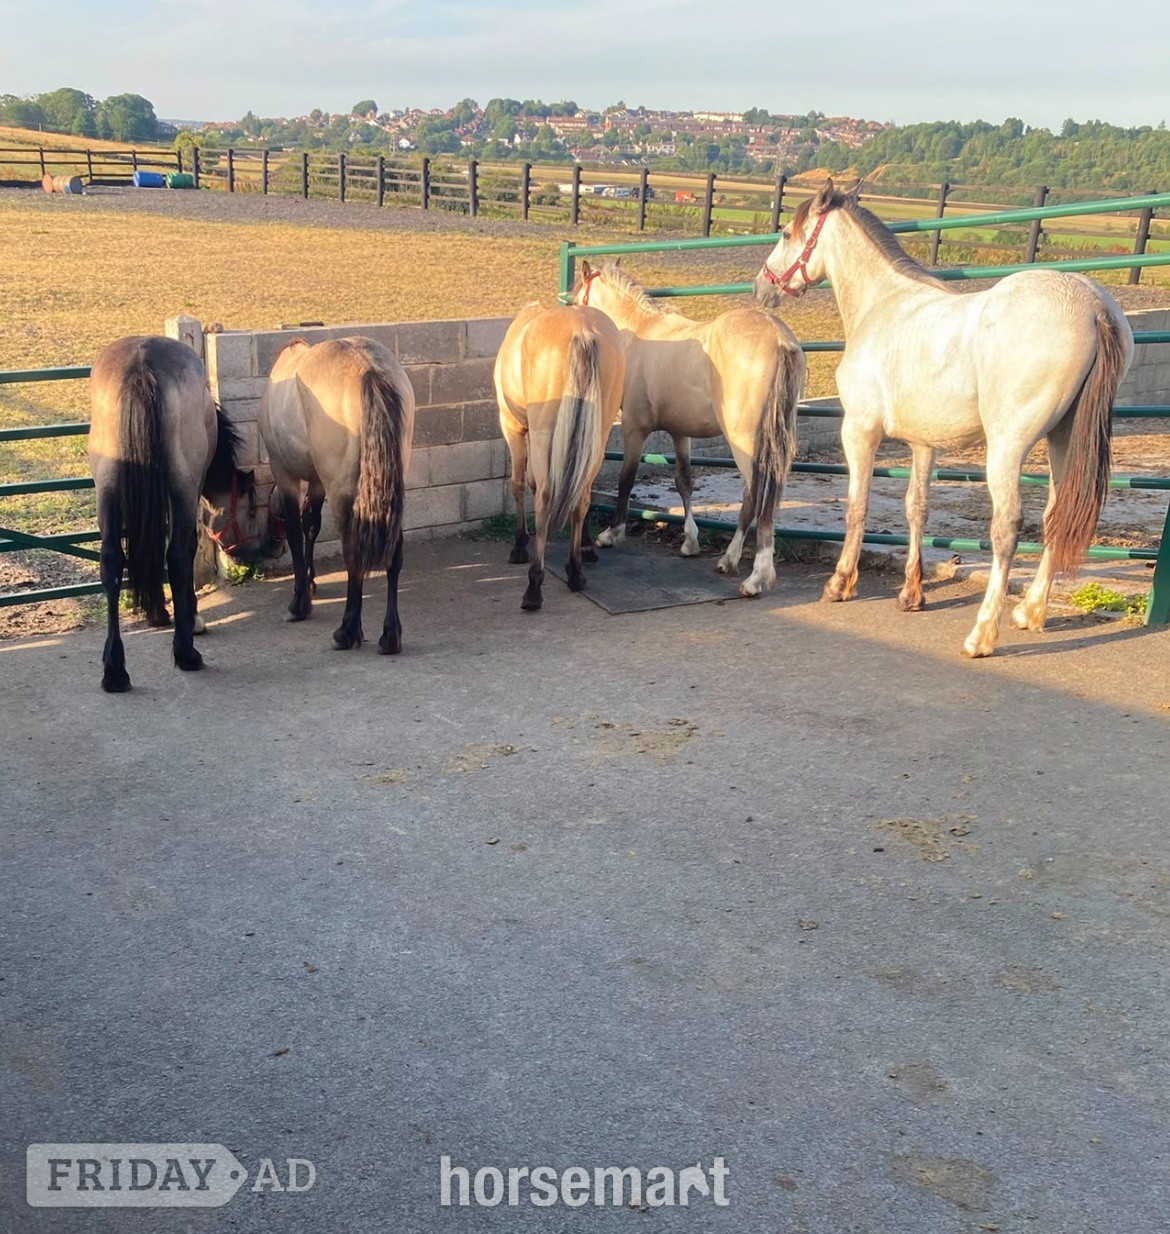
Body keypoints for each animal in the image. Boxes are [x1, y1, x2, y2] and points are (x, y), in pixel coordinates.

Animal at [88, 335, 261, 693]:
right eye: (251, 510)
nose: (255, 551)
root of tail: (141, 367)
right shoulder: (191, 490)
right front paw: (190, 619)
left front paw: (157, 612)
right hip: (181, 484)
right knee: (179, 554)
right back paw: (186, 652)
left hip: (107, 487)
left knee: (112, 560)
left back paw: (115, 669)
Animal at [260, 336, 415, 654]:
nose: (268, 546)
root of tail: (370, 370)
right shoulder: (318, 482)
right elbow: (311, 525)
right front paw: (310, 582)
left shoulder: (285, 474)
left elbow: (295, 531)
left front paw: (299, 602)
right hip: (392, 490)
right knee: (394, 553)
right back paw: (390, 635)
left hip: (342, 492)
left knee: (353, 554)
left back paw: (346, 632)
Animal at [493, 303, 625, 611]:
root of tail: (582, 332)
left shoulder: (513, 426)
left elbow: (518, 484)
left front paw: (520, 545)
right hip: (598, 435)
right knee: (581, 496)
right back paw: (575, 571)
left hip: (542, 432)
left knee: (544, 496)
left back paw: (533, 588)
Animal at [572, 260, 805, 597]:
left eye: (578, 300)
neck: (639, 333)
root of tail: (780, 341)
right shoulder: (680, 432)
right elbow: (684, 482)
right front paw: (690, 541)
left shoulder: (634, 427)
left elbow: (626, 480)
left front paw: (612, 534)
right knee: (759, 500)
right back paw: (728, 561)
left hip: (746, 443)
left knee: (758, 498)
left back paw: (756, 578)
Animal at [754, 181, 1134, 657]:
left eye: (787, 233)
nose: (762, 288)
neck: (885, 304)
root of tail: (1092, 307)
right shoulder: (923, 443)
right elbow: (917, 507)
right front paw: (911, 594)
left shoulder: (859, 429)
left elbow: (857, 506)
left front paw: (840, 583)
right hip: (1062, 439)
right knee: (1055, 518)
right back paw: (1030, 612)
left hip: (1008, 445)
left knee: (1007, 527)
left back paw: (982, 634)